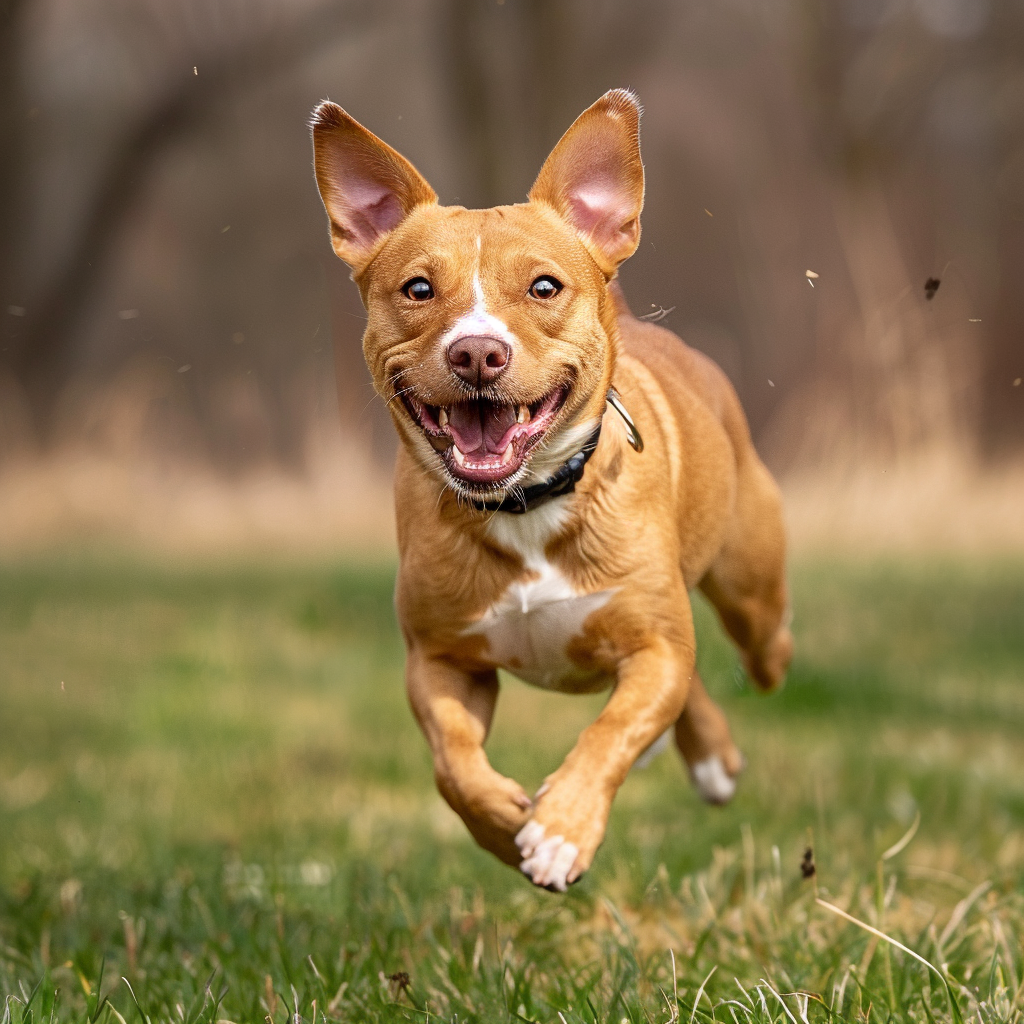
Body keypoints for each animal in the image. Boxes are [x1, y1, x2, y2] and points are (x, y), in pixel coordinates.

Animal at [309, 90, 790, 888]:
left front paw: (563, 828)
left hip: (747, 586)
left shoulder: (652, 644)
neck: (526, 503)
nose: (477, 351)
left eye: (543, 287)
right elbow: (453, 764)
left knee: (752, 645)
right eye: (418, 289)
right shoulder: (440, 661)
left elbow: (613, 729)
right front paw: (505, 827)